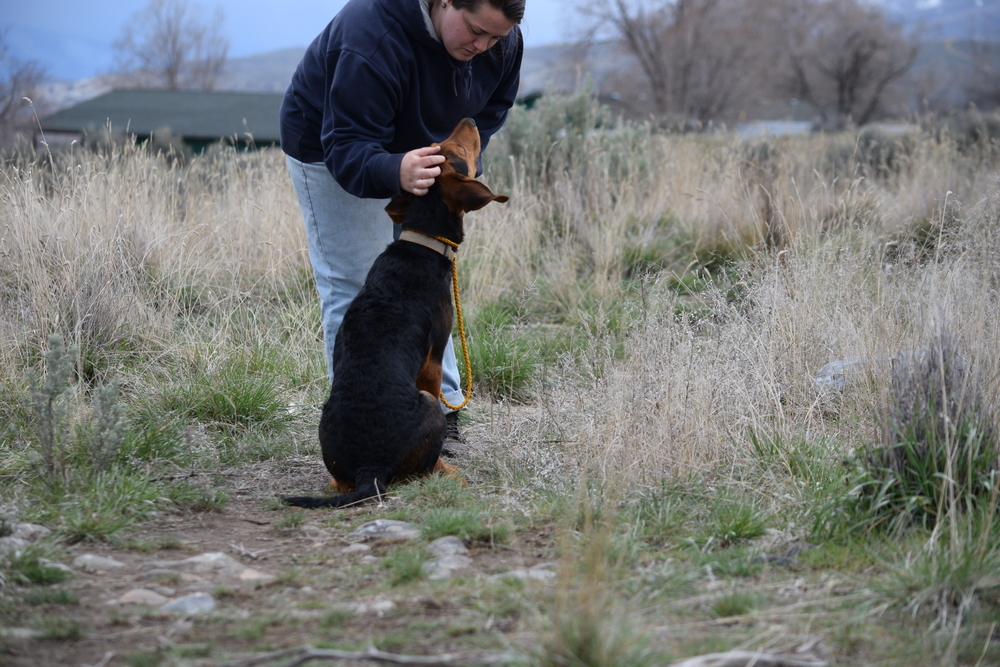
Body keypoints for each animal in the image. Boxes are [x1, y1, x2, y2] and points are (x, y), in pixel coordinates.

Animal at [286, 118, 508, 512]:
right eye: (455, 151)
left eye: (441, 148)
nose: (469, 120)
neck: (420, 241)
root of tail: (369, 468)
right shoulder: (432, 361)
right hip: (428, 405)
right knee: (424, 467)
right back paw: (450, 474)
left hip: (332, 447)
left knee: (338, 482)